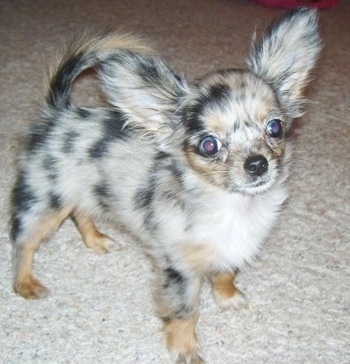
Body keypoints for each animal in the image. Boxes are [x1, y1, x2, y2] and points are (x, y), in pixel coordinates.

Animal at [9, 7, 322, 362]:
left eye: (274, 128)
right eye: (209, 145)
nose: (257, 164)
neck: (233, 206)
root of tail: (58, 112)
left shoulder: (230, 248)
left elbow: (225, 272)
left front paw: (228, 297)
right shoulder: (179, 268)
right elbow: (185, 312)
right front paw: (185, 349)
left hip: (82, 192)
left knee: (80, 213)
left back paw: (98, 240)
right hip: (46, 200)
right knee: (24, 241)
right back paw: (25, 283)